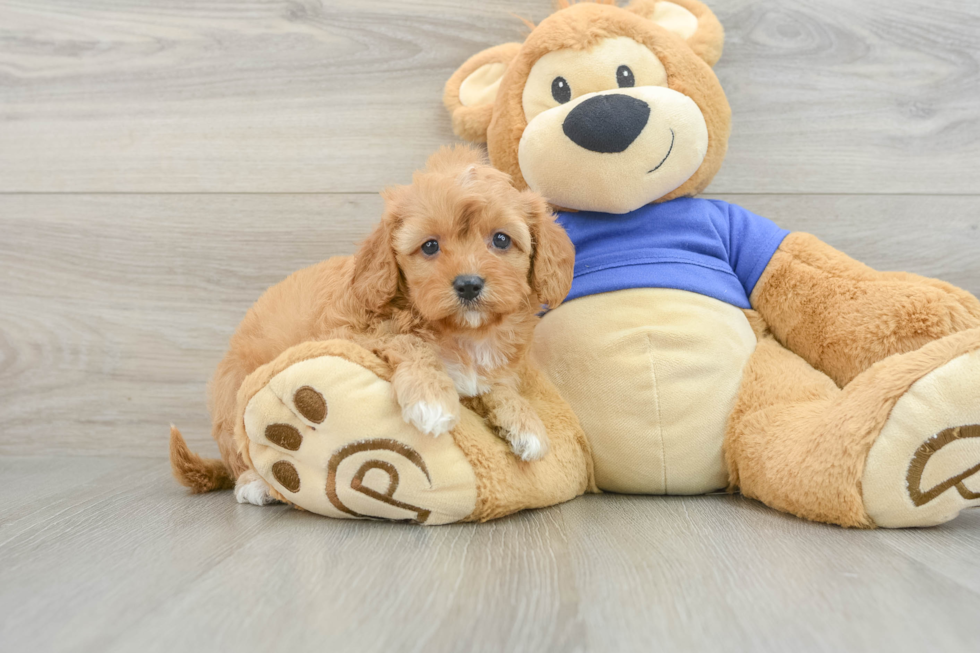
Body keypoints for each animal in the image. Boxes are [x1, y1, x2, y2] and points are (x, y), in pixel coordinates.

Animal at [170, 144, 576, 504]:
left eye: (501, 239)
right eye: (430, 246)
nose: (468, 284)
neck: (463, 333)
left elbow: (498, 388)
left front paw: (525, 423)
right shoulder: (349, 334)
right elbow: (409, 342)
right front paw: (431, 397)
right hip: (233, 394)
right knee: (239, 449)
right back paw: (254, 483)